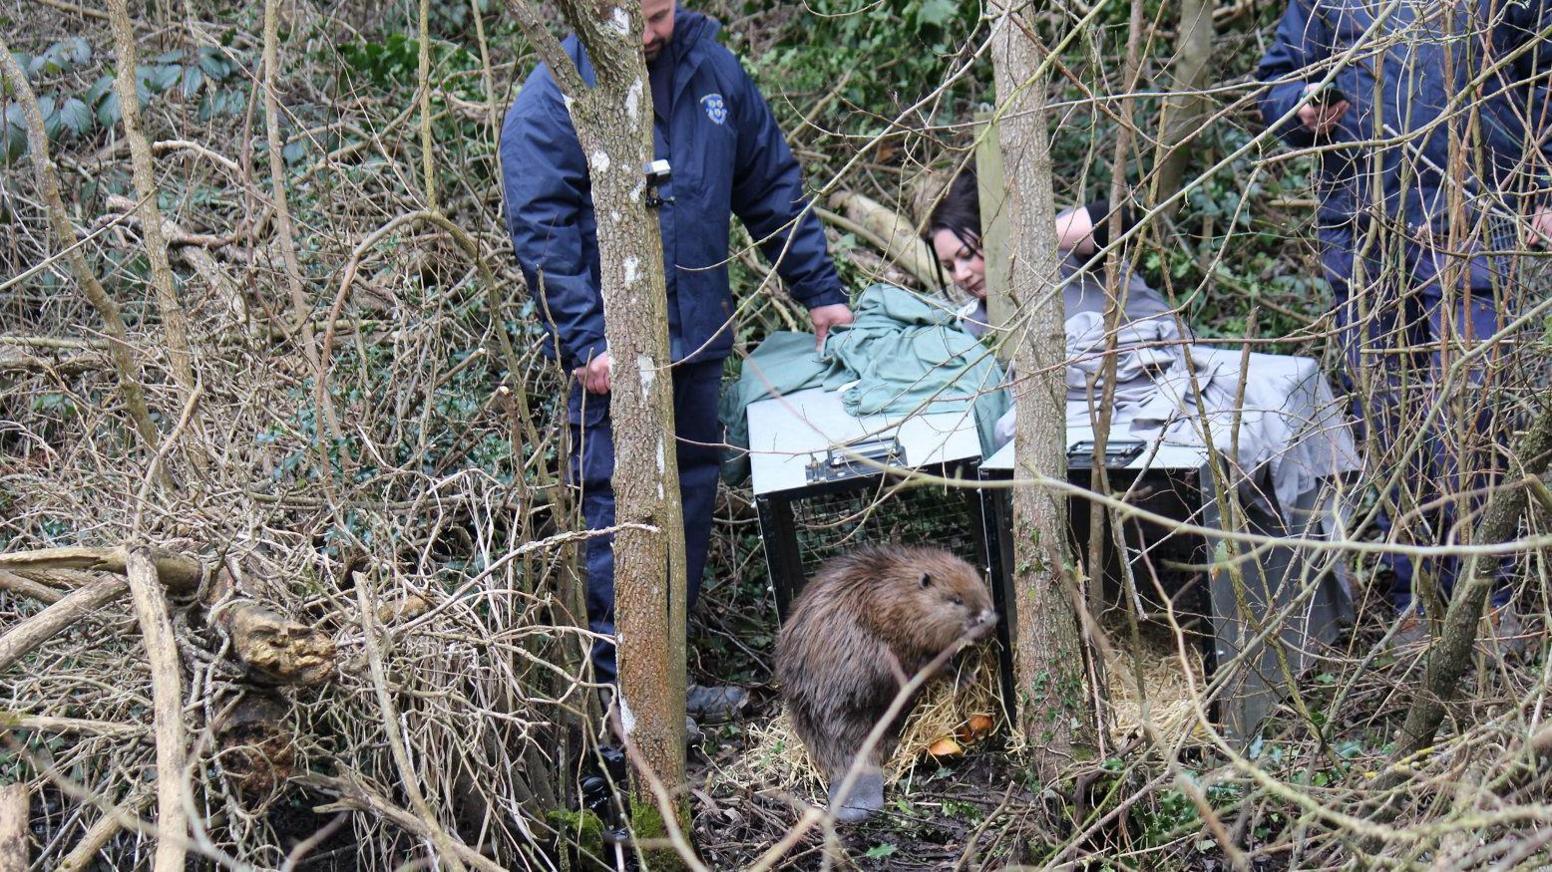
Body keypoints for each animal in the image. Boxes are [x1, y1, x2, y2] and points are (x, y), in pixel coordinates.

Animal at [772, 543, 993, 819]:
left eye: (980, 585)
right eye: (956, 600)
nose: (988, 618)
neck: (896, 591)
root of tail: (853, 766)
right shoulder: (907, 633)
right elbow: (931, 662)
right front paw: (964, 676)